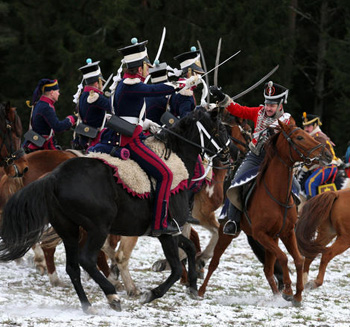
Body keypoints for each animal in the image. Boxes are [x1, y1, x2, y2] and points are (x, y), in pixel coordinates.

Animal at [0, 106, 231, 314]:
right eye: (220, 127)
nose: (230, 156)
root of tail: (54, 177)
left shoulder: (169, 231)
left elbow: (190, 248)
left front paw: (192, 284)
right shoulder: (166, 233)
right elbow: (175, 269)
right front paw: (151, 293)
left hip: (69, 230)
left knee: (73, 267)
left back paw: (88, 305)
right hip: (97, 229)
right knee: (86, 260)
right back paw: (112, 294)